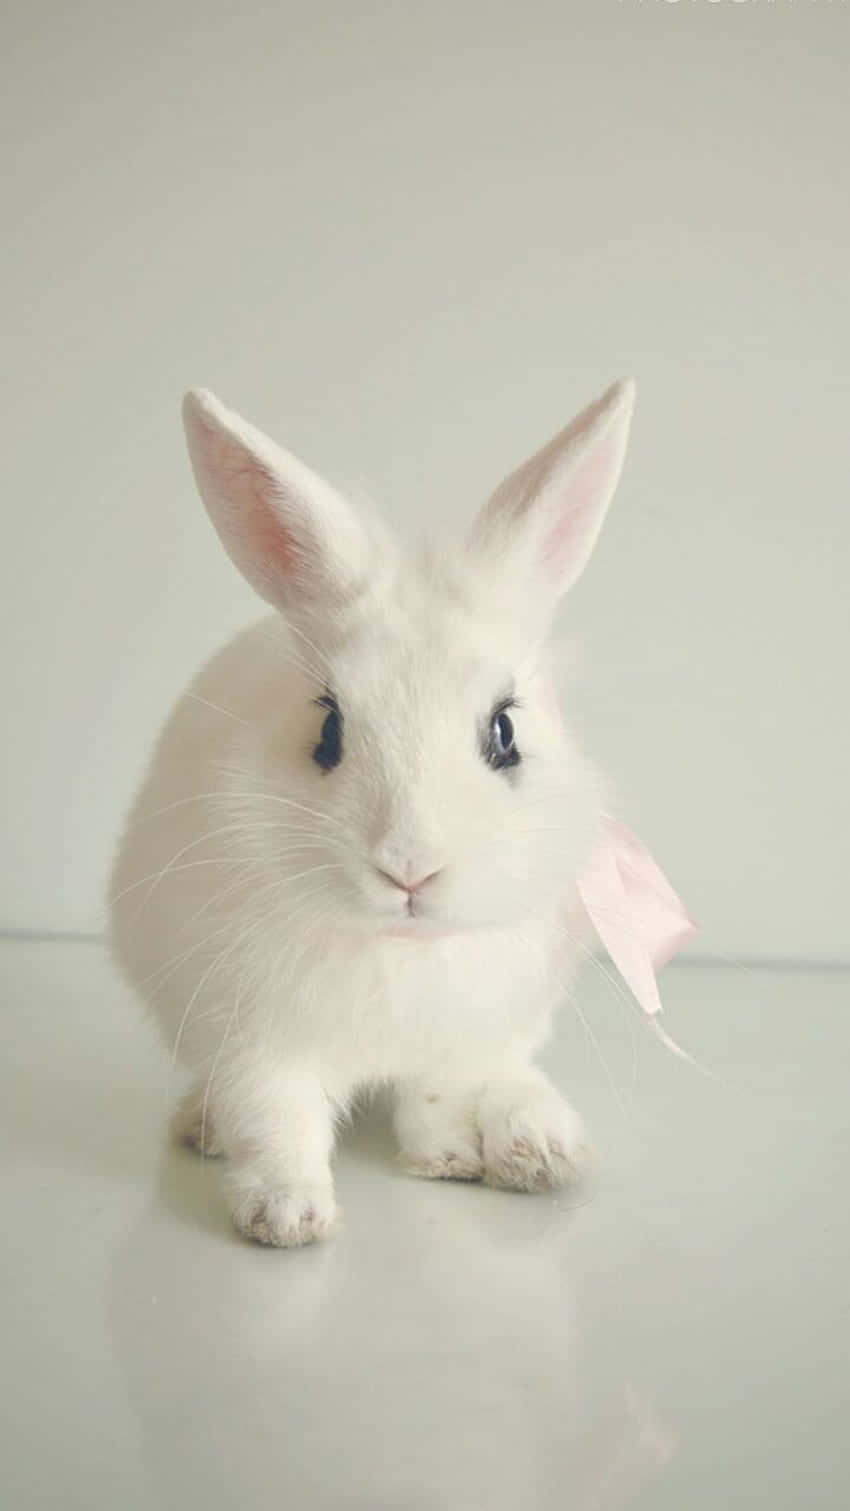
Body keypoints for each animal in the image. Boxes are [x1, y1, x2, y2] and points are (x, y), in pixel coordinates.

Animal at [108, 378, 635, 1247]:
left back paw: (535, 1145)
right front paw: (286, 1216)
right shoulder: (259, 1042)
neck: (400, 944)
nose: (409, 866)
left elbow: (435, 1098)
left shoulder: (453, 1041)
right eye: (328, 729)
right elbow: (276, 1121)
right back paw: (202, 1130)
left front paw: (446, 1159)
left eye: (505, 732)